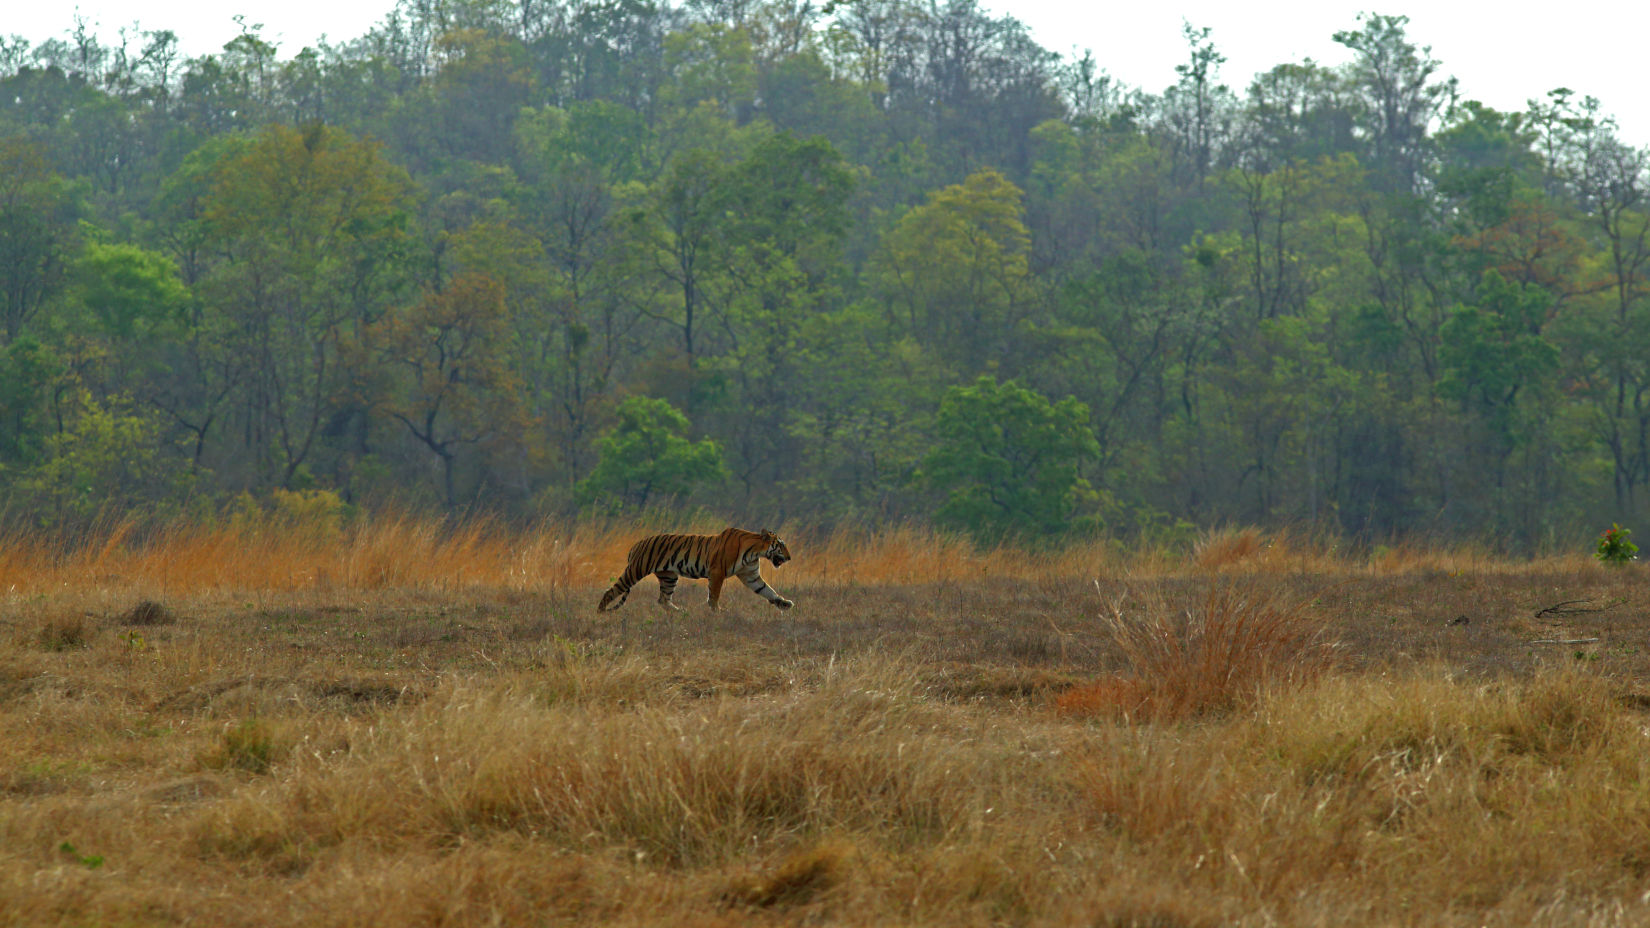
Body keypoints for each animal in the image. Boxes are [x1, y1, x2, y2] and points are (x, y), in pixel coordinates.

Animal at [600, 525, 792, 610]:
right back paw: (600, 613)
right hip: (636, 570)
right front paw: (716, 612)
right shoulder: (717, 572)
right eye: (781, 545)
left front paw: (784, 603)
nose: (790, 558)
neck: (755, 551)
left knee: (663, 600)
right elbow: (714, 595)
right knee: (610, 591)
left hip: (669, 576)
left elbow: (767, 590)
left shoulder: (751, 575)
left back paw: (680, 613)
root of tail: (637, 544)